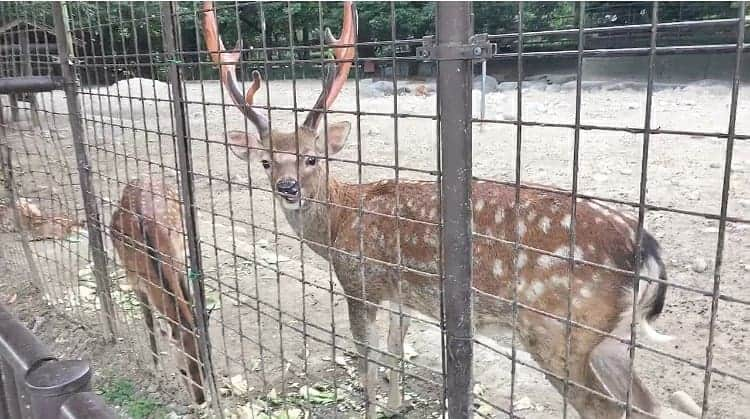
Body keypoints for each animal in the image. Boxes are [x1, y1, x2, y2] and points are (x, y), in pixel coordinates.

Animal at [111, 179, 206, 406]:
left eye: (204, 367)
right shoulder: (136, 281)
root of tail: (137, 180)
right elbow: (150, 325)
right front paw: (156, 371)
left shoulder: (179, 264)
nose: (201, 400)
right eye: (182, 371)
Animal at [204, 1, 676, 418]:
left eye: (312, 158)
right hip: (610, 338)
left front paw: (374, 408)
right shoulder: (401, 294)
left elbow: (368, 360)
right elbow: (396, 349)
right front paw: (396, 405)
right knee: (649, 404)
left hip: (559, 331)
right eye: (266, 161)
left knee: (608, 408)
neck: (339, 223)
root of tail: (647, 250)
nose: (287, 188)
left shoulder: (360, 281)